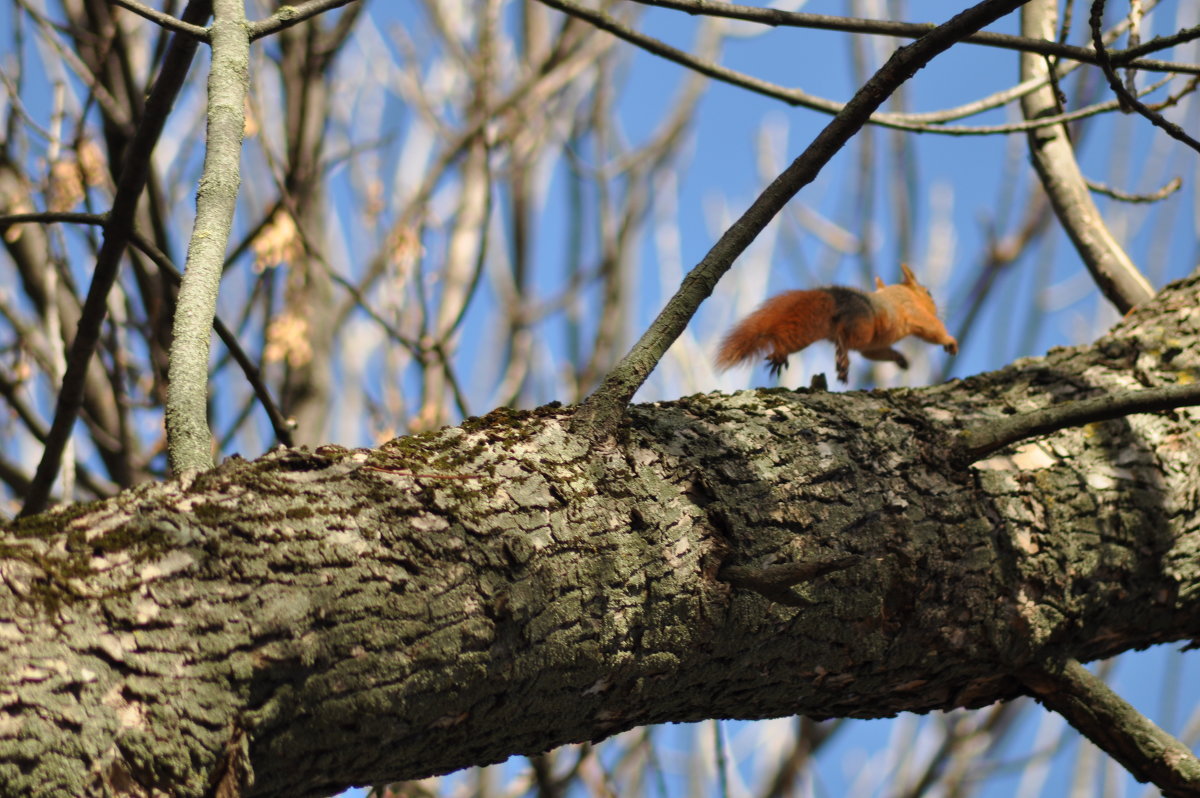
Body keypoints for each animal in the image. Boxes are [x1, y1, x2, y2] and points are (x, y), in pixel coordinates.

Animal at [710, 262, 955, 381]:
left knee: (791, 339)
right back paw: (842, 359)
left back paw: (780, 355)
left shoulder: (874, 345)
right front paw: (950, 342)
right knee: (845, 339)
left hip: (809, 327)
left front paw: (900, 359)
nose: (938, 308)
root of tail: (833, 296)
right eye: (929, 293)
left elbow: (876, 353)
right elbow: (932, 328)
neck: (904, 294)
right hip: (862, 327)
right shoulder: (915, 313)